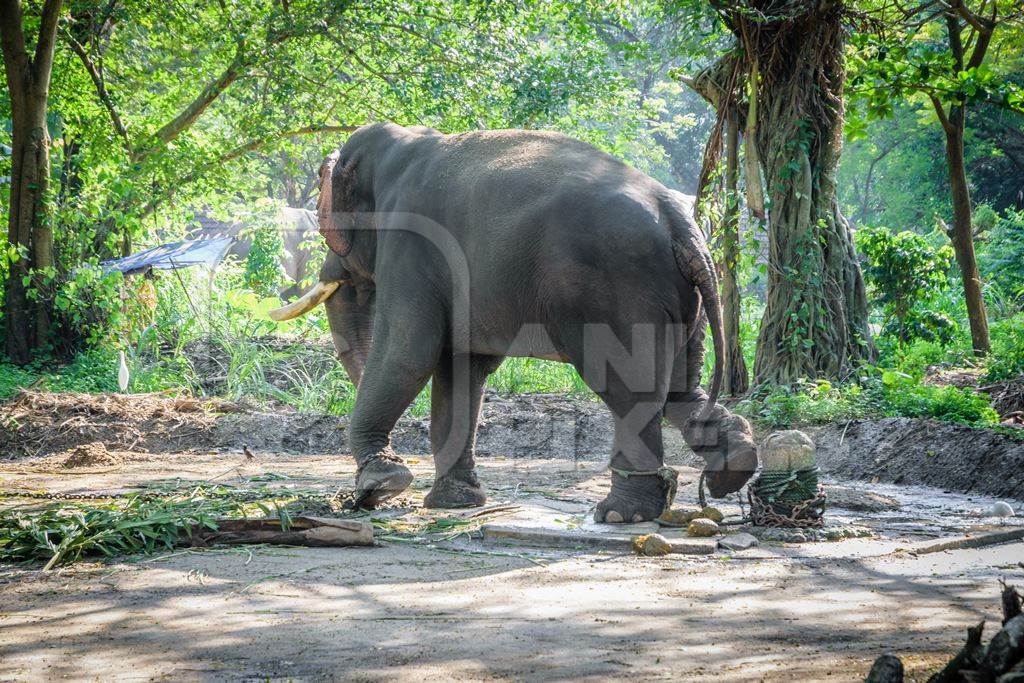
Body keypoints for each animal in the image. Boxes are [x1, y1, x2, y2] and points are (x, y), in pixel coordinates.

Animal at [268, 121, 757, 524]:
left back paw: (620, 514)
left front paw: (381, 484)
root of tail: (680, 222)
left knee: (629, 391)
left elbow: (408, 353)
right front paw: (454, 503)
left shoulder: (413, 246)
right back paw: (733, 469)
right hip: (682, 298)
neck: (404, 142)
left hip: (618, 291)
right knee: (679, 387)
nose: (365, 498)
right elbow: (461, 369)